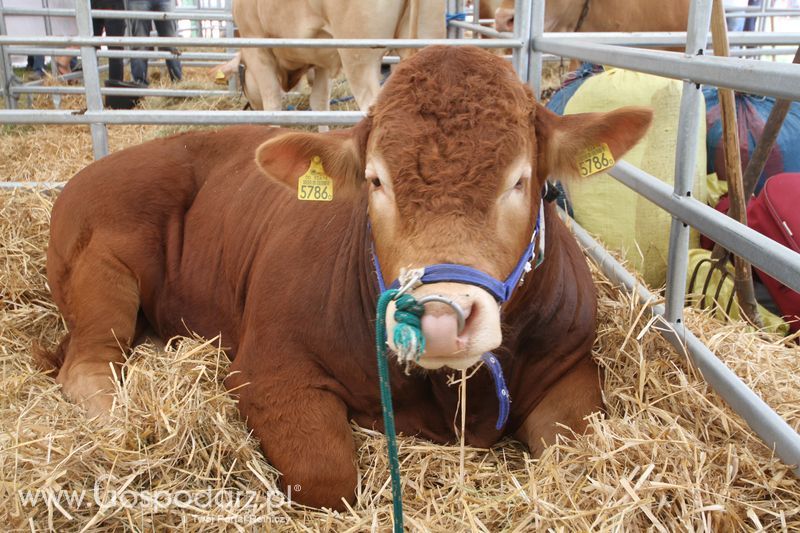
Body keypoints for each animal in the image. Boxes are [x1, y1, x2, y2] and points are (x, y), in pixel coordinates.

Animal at [43, 47, 648, 510]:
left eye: (520, 181)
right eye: (376, 180)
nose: (440, 317)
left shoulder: (571, 366)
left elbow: (578, 456)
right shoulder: (269, 369)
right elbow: (329, 477)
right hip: (102, 270)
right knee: (88, 364)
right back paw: (122, 422)